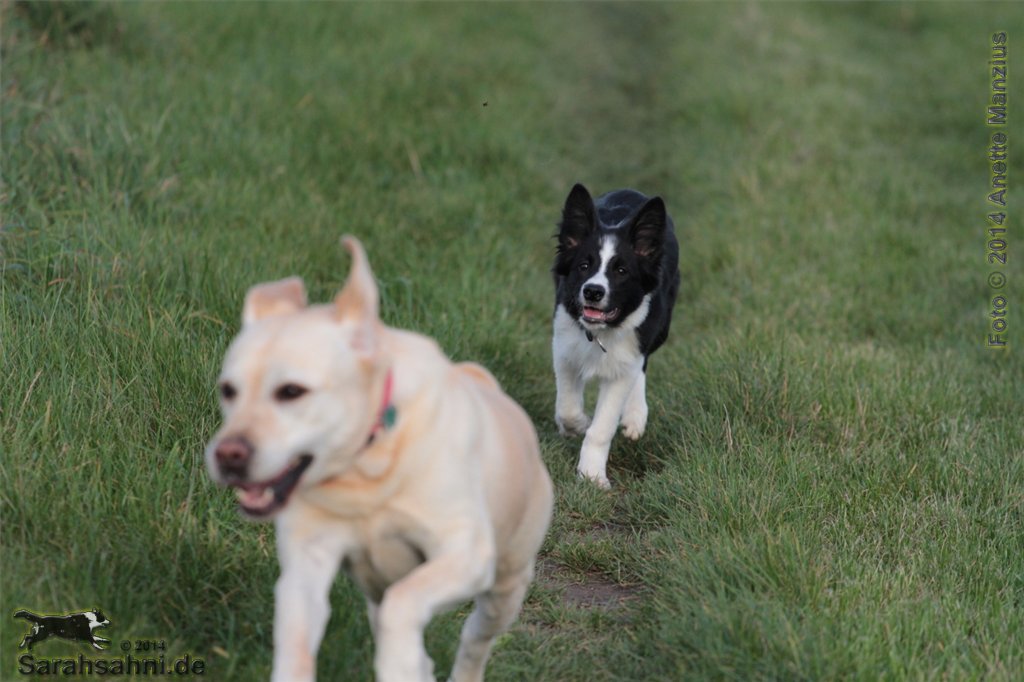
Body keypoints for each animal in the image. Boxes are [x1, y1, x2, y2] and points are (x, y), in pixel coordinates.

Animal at [205, 237, 553, 682]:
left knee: (475, 639)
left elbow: (402, 604)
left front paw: (397, 659)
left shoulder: (465, 553)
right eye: (228, 390)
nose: (228, 455)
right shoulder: (305, 570)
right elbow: (297, 640)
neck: (364, 469)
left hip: (505, 585)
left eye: (291, 391)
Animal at [552, 183, 680, 488]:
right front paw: (576, 425)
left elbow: (602, 427)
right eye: (584, 266)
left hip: (660, 327)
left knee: (642, 365)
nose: (593, 292)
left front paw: (592, 477)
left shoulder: (629, 355)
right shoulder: (564, 344)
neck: (601, 333)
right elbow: (567, 406)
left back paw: (635, 416)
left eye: (622, 271)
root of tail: (630, 190)